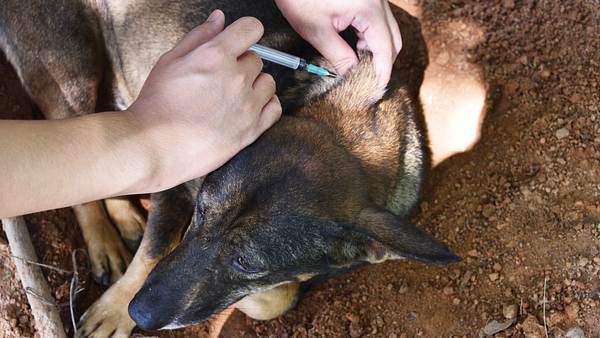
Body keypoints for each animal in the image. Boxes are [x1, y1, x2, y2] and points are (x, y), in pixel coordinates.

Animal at [1, 0, 460, 336]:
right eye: (201, 212)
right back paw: (104, 241)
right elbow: (153, 251)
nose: (141, 314)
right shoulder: (176, 179)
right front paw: (115, 309)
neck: (347, 133)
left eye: (247, 264)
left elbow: (275, 297)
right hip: (71, 70)